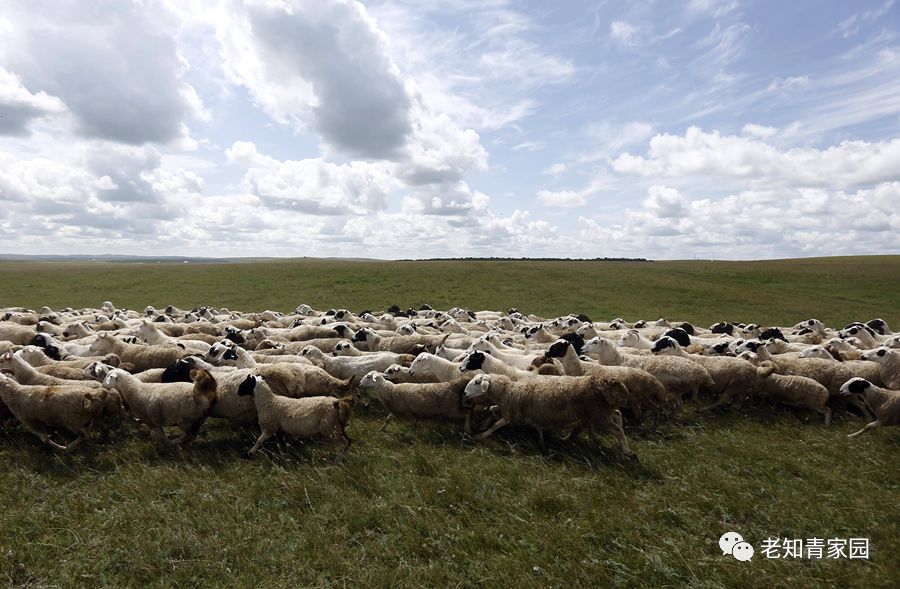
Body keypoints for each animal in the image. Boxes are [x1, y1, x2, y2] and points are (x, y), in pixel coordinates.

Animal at [463, 373, 634, 457]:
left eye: (477, 382)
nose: (464, 393)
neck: (508, 391)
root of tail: (606, 383)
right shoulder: (527, 412)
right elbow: (493, 409)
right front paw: (541, 442)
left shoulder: (511, 413)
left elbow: (495, 425)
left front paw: (480, 435)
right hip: (602, 411)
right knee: (618, 414)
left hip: (598, 414)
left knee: (617, 430)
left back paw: (628, 452)